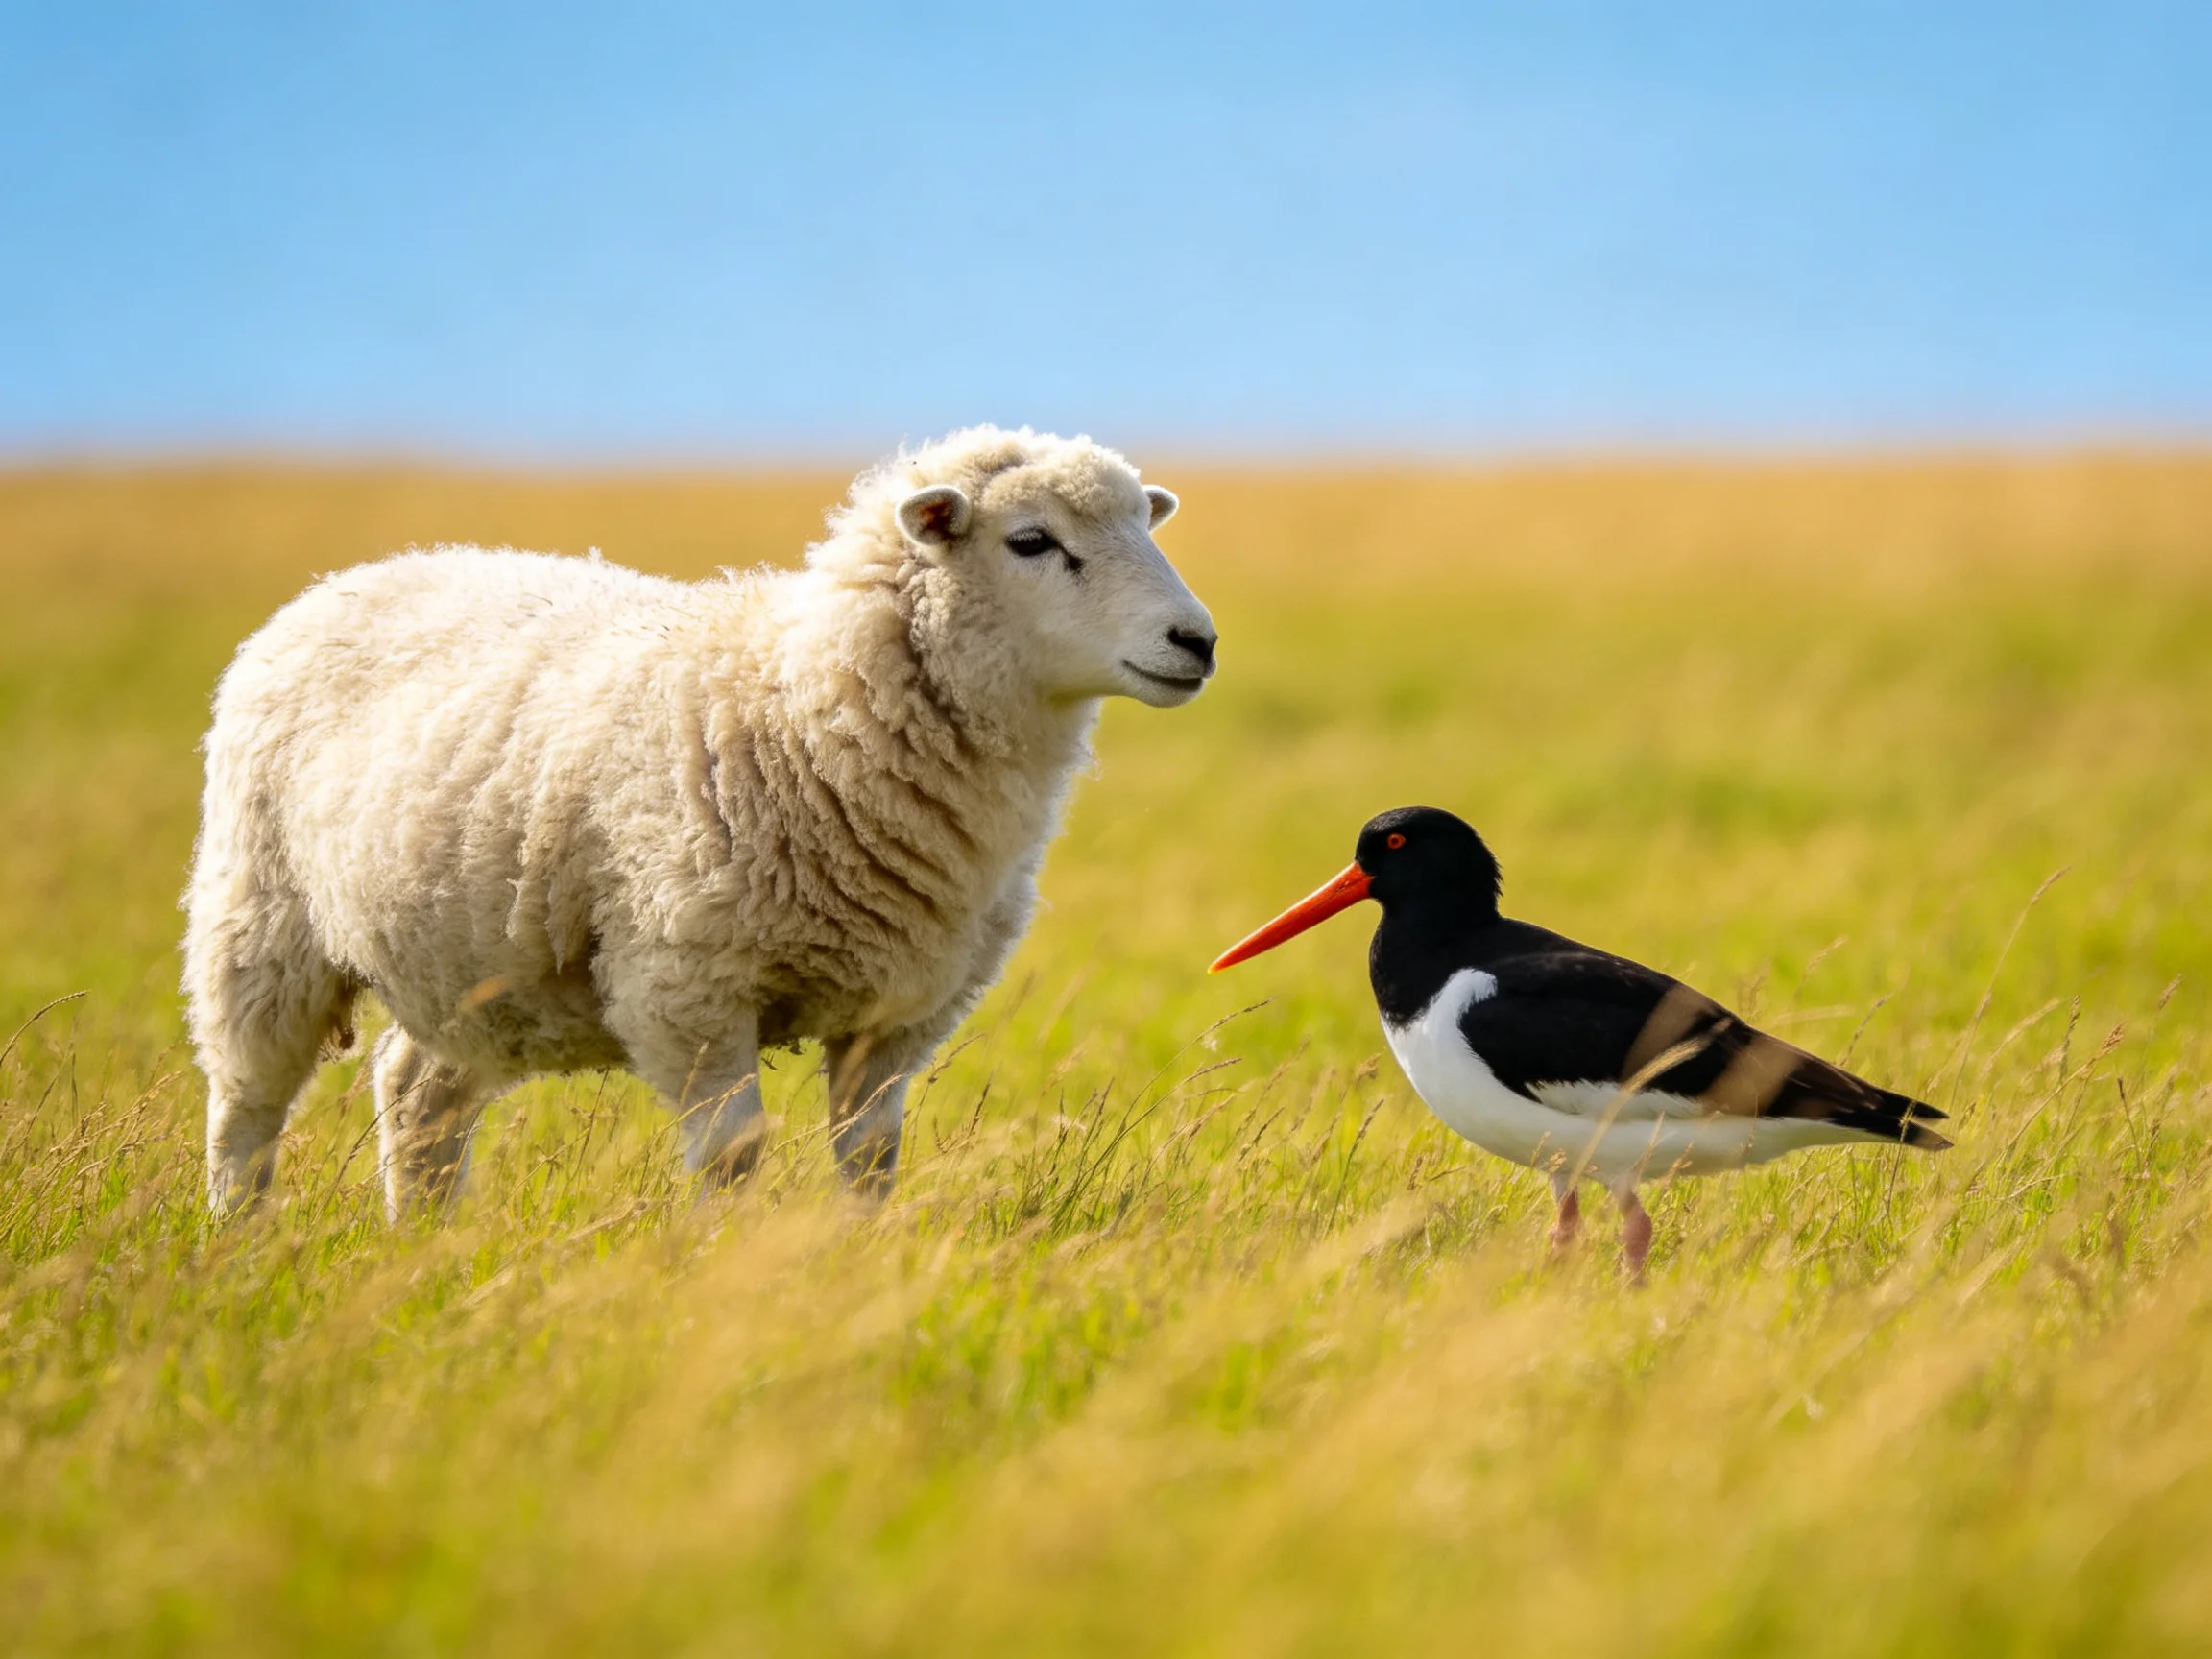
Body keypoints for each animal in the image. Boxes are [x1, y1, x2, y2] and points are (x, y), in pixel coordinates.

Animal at [183, 426, 1219, 1218]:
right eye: (1032, 541)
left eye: (1143, 525)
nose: (1197, 641)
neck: (806, 704)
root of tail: (362, 573)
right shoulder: (689, 987)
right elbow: (734, 1155)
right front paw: (729, 1267)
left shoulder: (898, 1014)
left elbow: (869, 1161)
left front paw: (866, 1261)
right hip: (262, 923)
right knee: (246, 1108)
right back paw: (240, 1244)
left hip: (474, 967)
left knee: (414, 1090)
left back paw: (423, 1242)